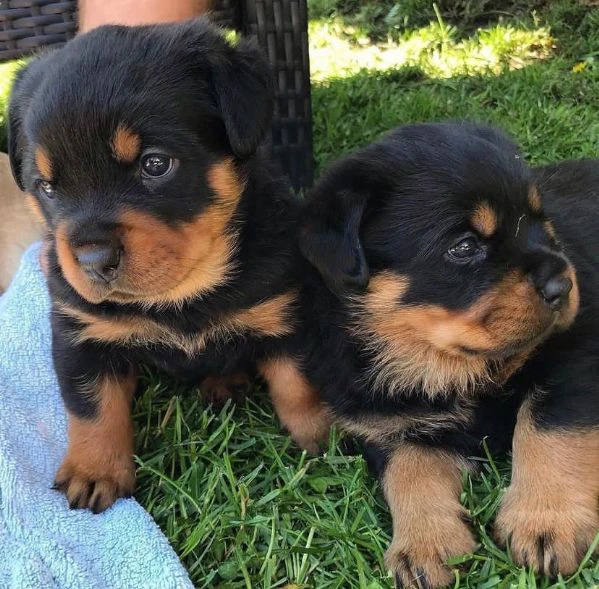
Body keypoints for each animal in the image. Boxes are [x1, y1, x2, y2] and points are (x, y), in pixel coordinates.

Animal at [7, 19, 330, 510]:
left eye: (155, 164)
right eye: (46, 187)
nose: (92, 260)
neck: (182, 295)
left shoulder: (285, 309)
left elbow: (298, 382)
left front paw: (322, 434)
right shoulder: (80, 333)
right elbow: (91, 405)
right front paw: (95, 470)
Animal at [284, 123, 596, 584]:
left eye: (543, 223)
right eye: (464, 247)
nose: (564, 285)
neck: (441, 363)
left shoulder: (573, 356)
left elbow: (545, 430)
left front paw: (545, 522)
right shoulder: (391, 423)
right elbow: (409, 475)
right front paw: (424, 546)